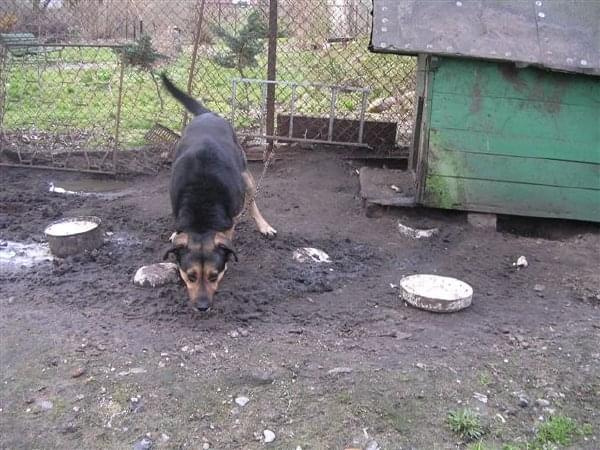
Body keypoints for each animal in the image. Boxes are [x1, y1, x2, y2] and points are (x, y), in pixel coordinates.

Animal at [162, 74, 278, 312]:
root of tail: (207, 114)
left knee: (253, 202)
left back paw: (264, 225)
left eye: (214, 276)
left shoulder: (229, 220)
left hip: (246, 176)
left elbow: (230, 233)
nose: (202, 307)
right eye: (190, 276)